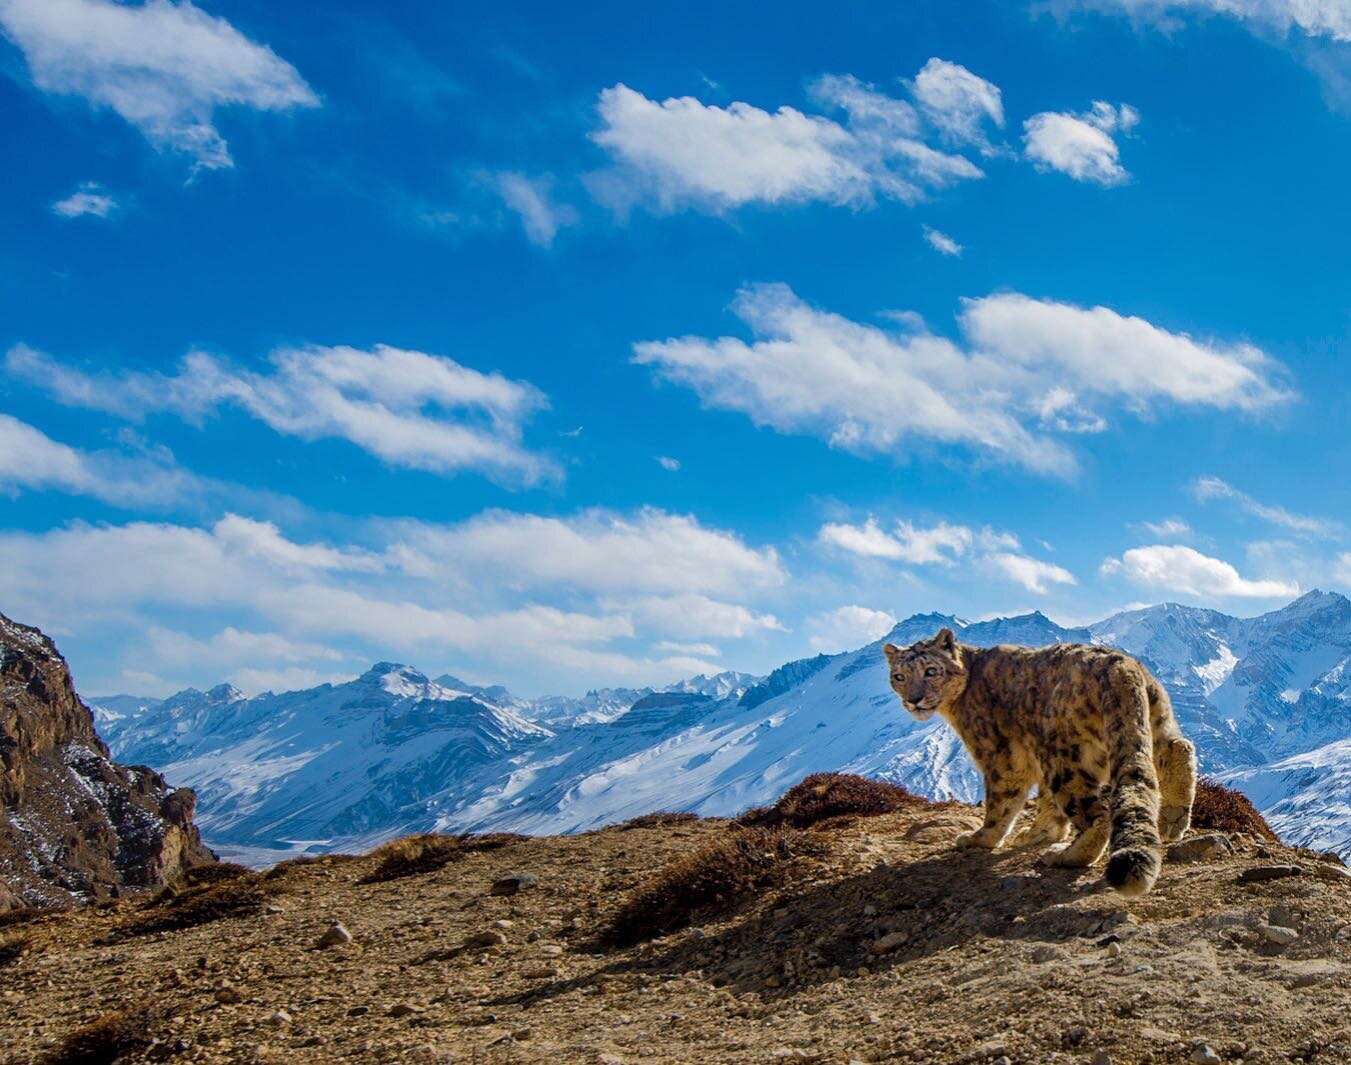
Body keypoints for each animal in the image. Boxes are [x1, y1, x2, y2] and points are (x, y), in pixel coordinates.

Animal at [886, 627, 1194, 892]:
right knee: (1179, 748)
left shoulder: (1000, 757)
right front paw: (1038, 834)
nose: (914, 699)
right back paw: (1172, 819)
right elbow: (1047, 805)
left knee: (1099, 814)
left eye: (931, 671)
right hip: (1152, 721)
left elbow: (1000, 803)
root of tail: (1121, 666)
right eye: (899, 676)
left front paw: (980, 838)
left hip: (1064, 758)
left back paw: (1064, 856)